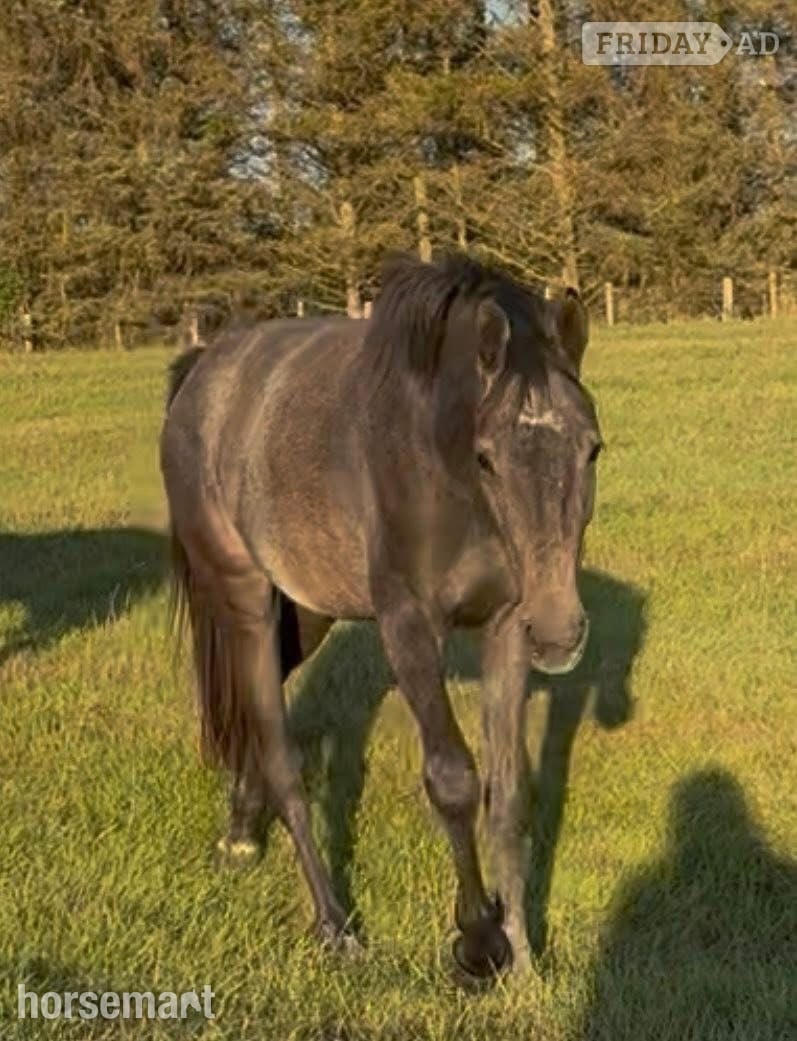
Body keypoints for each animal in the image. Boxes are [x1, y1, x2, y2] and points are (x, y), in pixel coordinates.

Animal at [160, 253, 602, 978]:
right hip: (245, 597)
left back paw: (240, 835)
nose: (560, 632)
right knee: (281, 754)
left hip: (304, 616)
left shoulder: (507, 626)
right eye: (487, 456)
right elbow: (453, 780)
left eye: (592, 447)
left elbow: (508, 793)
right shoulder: (408, 627)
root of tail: (203, 372)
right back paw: (335, 925)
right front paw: (478, 942)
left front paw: (523, 957)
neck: (439, 465)